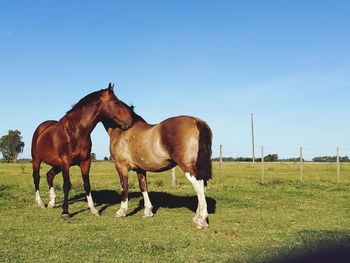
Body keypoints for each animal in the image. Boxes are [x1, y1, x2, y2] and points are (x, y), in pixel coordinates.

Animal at [31, 84, 133, 219]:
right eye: (116, 101)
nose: (130, 121)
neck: (76, 131)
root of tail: (41, 128)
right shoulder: (65, 163)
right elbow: (66, 185)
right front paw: (65, 212)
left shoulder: (85, 162)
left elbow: (87, 184)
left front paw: (94, 209)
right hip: (37, 160)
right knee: (36, 177)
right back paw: (40, 203)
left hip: (56, 165)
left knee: (49, 175)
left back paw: (52, 203)